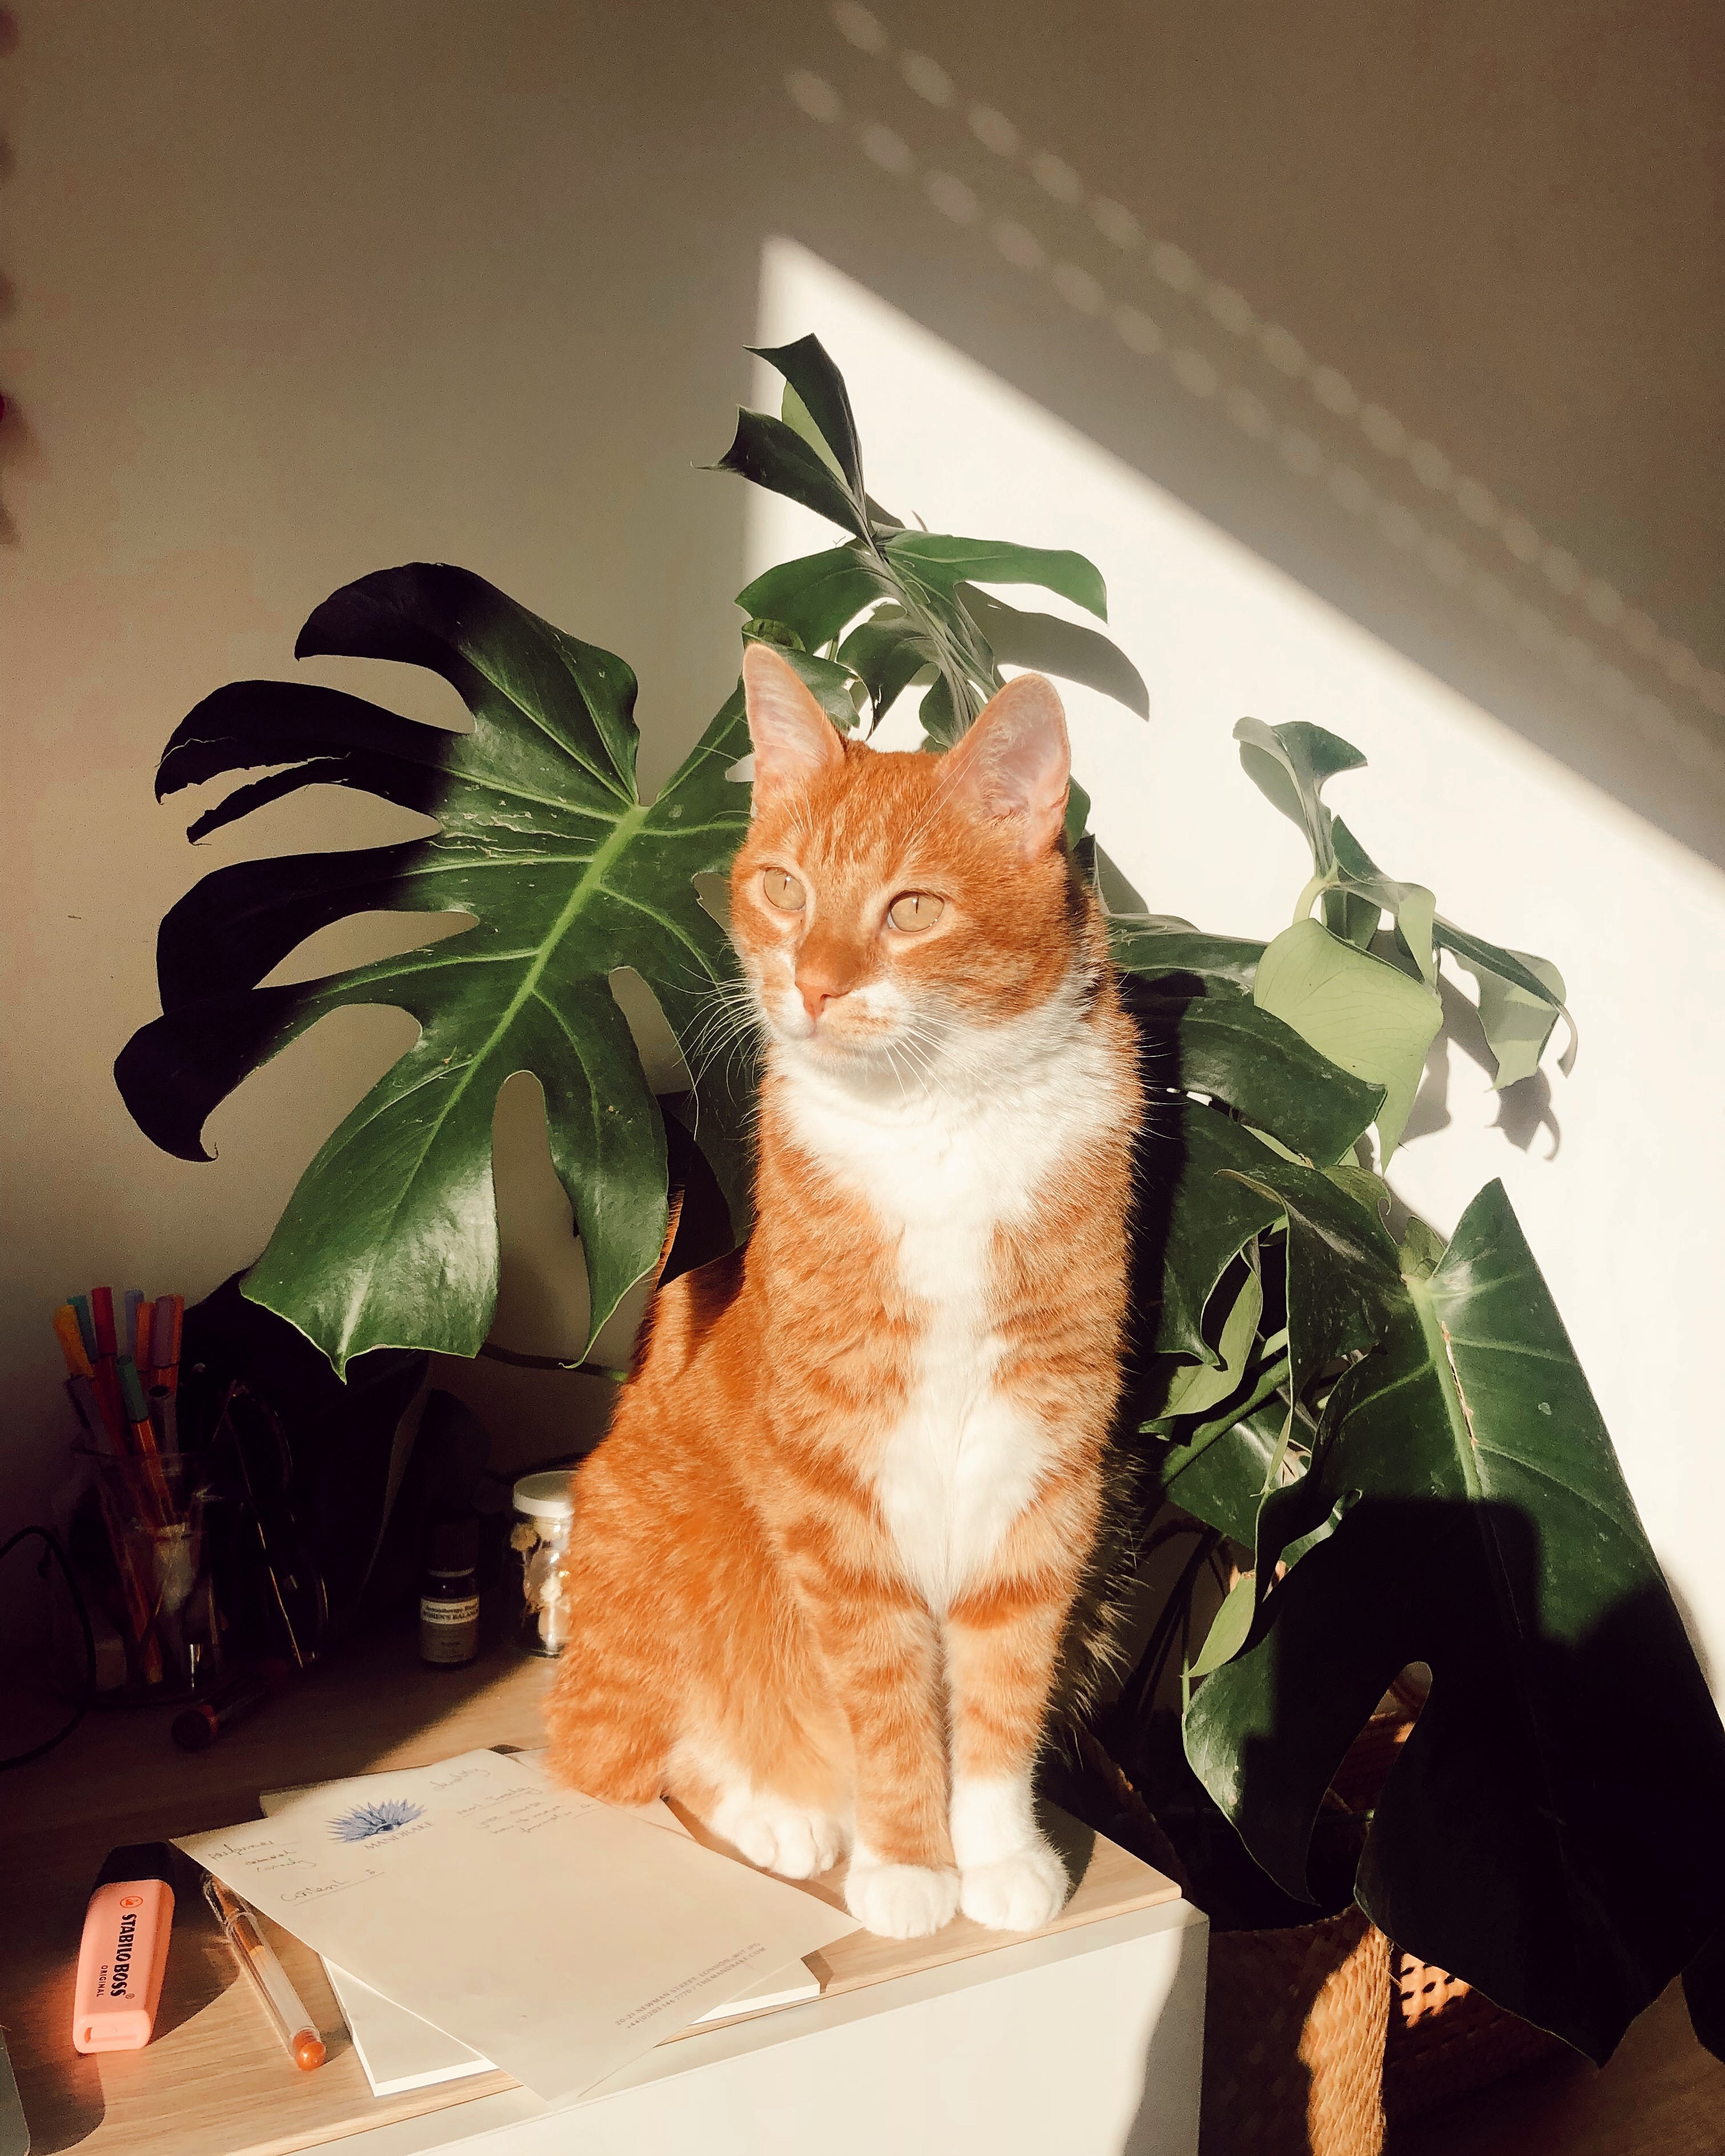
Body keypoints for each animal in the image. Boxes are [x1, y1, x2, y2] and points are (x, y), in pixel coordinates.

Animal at [543, 643, 1142, 1941]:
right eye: (782, 890)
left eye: (909, 910)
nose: (811, 988)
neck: (939, 1120)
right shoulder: (831, 1484)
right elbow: (884, 1700)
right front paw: (911, 1864)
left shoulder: (1045, 1462)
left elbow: (1003, 1688)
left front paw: (997, 1855)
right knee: (625, 1763)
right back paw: (785, 1813)